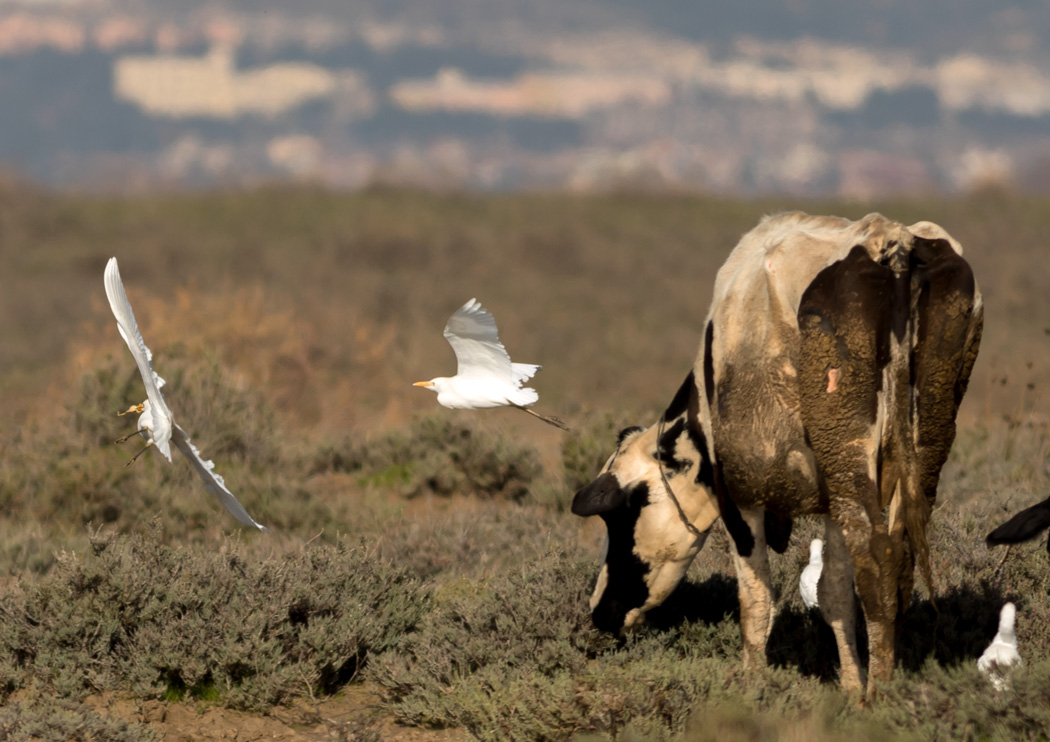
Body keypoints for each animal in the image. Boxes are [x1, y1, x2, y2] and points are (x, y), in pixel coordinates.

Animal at [571, 210, 978, 696]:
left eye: (618, 517)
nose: (599, 611)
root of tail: (890, 240)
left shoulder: (739, 497)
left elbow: (756, 598)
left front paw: (752, 686)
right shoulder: (829, 498)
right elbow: (832, 592)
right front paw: (848, 686)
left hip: (848, 447)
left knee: (877, 555)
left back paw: (879, 693)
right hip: (922, 436)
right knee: (900, 552)